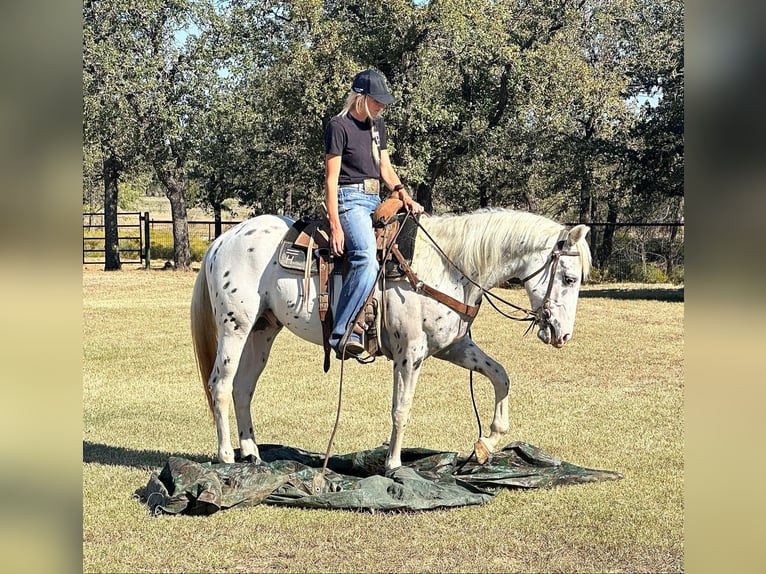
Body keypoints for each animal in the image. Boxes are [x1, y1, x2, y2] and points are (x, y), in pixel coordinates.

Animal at [190, 208, 591, 471]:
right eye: (569, 278)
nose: (564, 334)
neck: (447, 266)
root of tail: (221, 240)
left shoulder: (453, 347)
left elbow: (500, 376)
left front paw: (487, 442)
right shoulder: (409, 353)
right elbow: (402, 408)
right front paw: (394, 465)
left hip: (263, 330)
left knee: (243, 389)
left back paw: (252, 455)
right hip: (235, 326)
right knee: (220, 385)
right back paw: (226, 456)